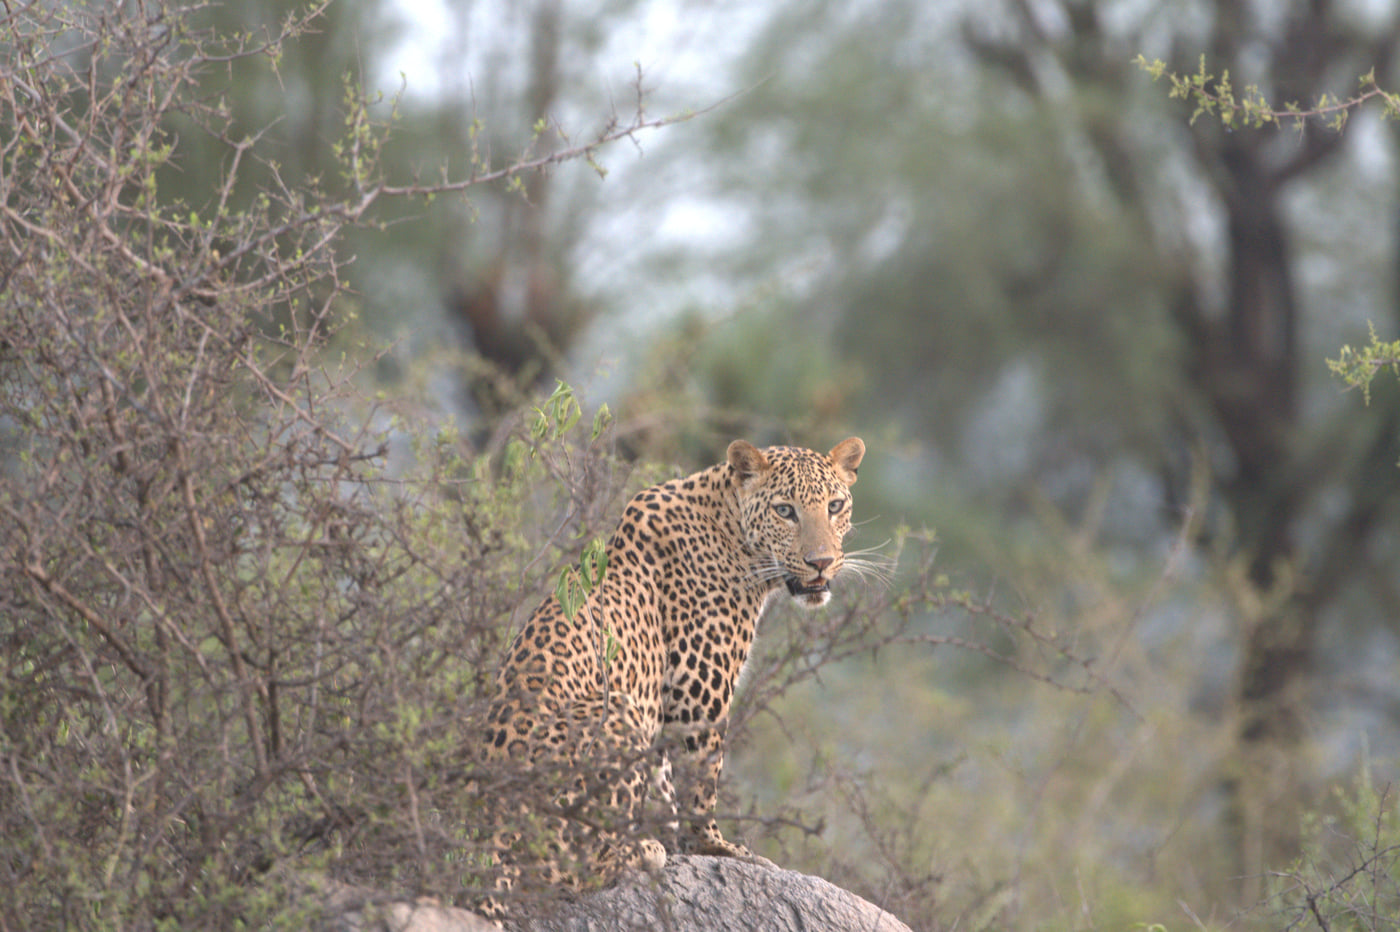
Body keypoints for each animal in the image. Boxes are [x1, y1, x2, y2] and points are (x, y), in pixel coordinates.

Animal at [477, 437, 868, 918]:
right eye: (785, 511)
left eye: (835, 506)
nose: (821, 563)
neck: (730, 528)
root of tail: (491, 827)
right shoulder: (700, 690)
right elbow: (701, 778)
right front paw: (714, 847)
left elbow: (666, 780)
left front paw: (681, 837)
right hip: (615, 714)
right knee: (557, 874)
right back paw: (641, 851)